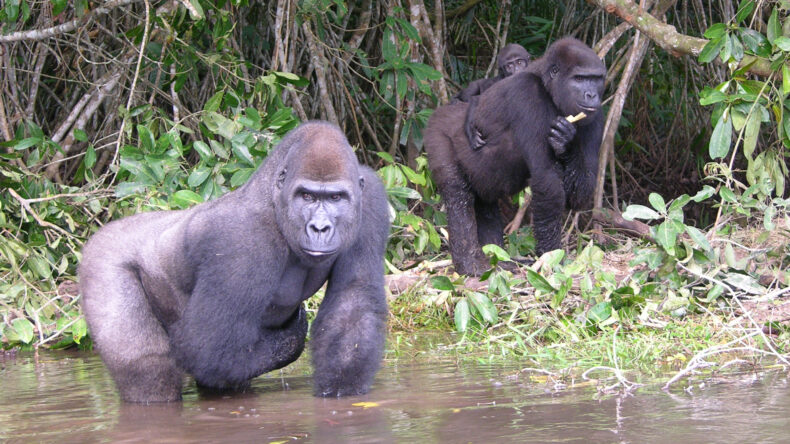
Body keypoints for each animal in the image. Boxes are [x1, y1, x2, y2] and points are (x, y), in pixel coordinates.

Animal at [78, 121, 392, 402]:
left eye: (336, 197)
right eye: (306, 196)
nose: (319, 227)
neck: (273, 197)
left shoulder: (371, 198)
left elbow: (353, 307)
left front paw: (340, 390)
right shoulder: (241, 238)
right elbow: (208, 348)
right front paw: (291, 341)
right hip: (102, 258)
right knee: (149, 371)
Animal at [426, 37, 608, 274]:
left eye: (595, 79)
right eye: (579, 78)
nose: (592, 95)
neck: (547, 86)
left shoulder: (596, 116)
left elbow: (581, 191)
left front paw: (565, 141)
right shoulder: (527, 92)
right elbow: (548, 181)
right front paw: (550, 257)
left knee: (484, 202)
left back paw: (498, 257)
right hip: (437, 131)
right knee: (457, 193)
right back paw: (469, 263)